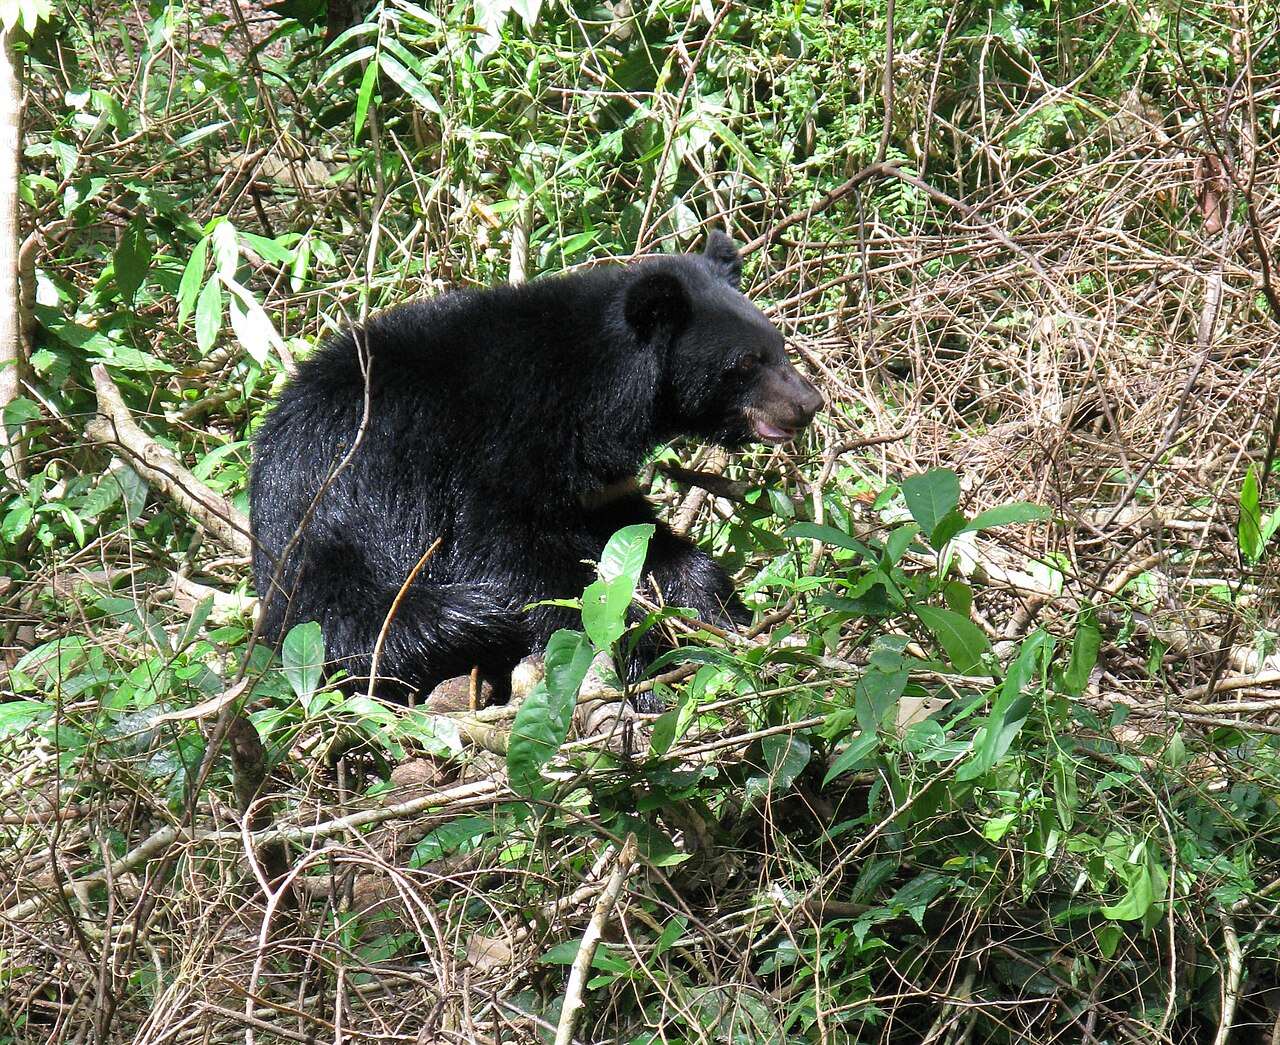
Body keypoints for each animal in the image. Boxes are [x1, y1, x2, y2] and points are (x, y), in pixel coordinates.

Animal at [249, 232, 823, 703]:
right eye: (745, 362)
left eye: (778, 346)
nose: (808, 404)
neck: (597, 395)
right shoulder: (494, 450)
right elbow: (512, 555)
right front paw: (641, 664)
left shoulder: (595, 482)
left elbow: (634, 535)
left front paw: (724, 613)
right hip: (332, 536)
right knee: (376, 625)